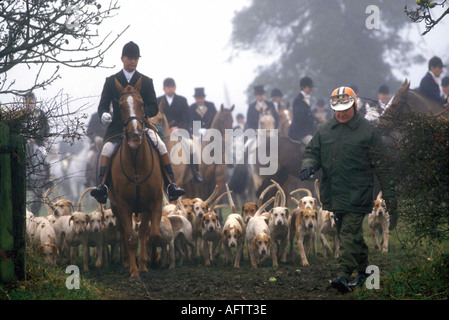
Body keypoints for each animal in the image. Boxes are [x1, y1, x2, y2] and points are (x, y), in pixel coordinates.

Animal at [108, 78, 163, 280]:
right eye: (120, 106)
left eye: (141, 104)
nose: (134, 135)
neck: (137, 163)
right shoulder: (123, 205)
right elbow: (131, 239)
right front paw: (133, 272)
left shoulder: (153, 203)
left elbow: (151, 235)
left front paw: (149, 263)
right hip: (115, 206)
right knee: (124, 232)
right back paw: (127, 263)